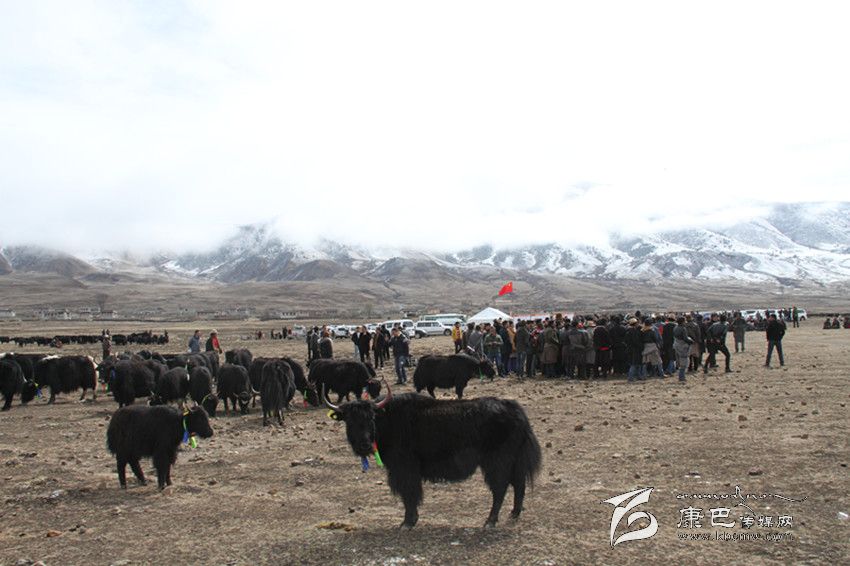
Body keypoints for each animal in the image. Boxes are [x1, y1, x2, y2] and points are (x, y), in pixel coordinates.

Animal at [324, 384, 541, 529]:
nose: (364, 445)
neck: (387, 419)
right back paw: (514, 514)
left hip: (497, 462)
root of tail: (514, 408)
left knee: (500, 488)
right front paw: (411, 520)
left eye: (371, 418)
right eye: (349, 420)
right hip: (513, 461)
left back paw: (490, 521)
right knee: (518, 484)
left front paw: (407, 522)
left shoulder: (405, 469)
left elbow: (409, 494)